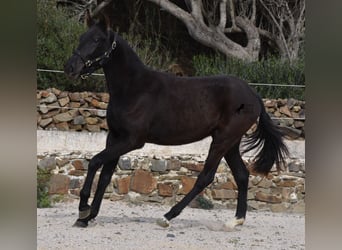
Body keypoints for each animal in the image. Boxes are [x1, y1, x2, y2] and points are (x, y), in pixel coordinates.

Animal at [64, 13, 288, 229]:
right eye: (81, 37)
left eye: (97, 39)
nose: (70, 67)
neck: (134, 89)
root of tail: (253, 95)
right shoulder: (115, 137)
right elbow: (105, 176)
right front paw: (87, 217)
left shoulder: (132, 140)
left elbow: (94, 162)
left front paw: (83, 209)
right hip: (231, 143)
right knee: (241, 175)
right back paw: (236, 221)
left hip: (223, 140)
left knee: (206, 177)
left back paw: (167, 217)